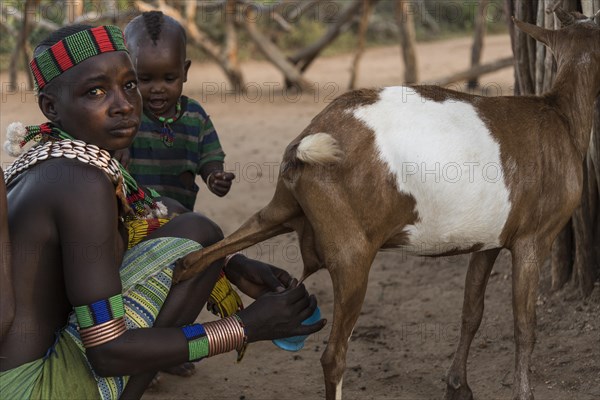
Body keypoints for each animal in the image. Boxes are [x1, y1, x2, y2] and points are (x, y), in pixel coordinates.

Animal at [173, 11, 600, 400]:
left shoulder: (488, 240)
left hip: (281, 209)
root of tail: (307, 141)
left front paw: (458, 386)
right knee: (334, 356)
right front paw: (522, 393)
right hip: (352, 251)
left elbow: (471, 312)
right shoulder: (534, 238)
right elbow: (525, 326)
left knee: (197, 259)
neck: (561, 116)